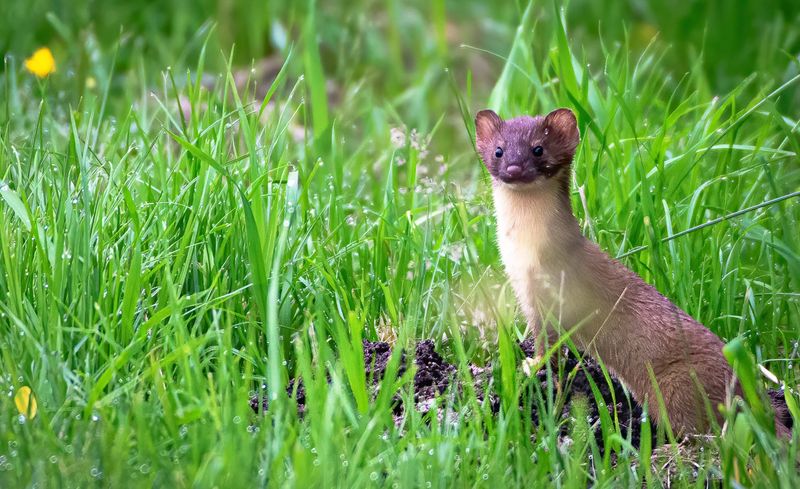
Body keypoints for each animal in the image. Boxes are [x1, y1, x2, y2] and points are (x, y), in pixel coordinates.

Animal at [478, 107, 792, 434]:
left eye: (538, 149)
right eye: (499, 150)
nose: (514, 168)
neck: (523, 254)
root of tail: (750, 392)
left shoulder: (550, 291)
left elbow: (549, 340)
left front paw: (532, 364)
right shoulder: (524, 290)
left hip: (677, 385)